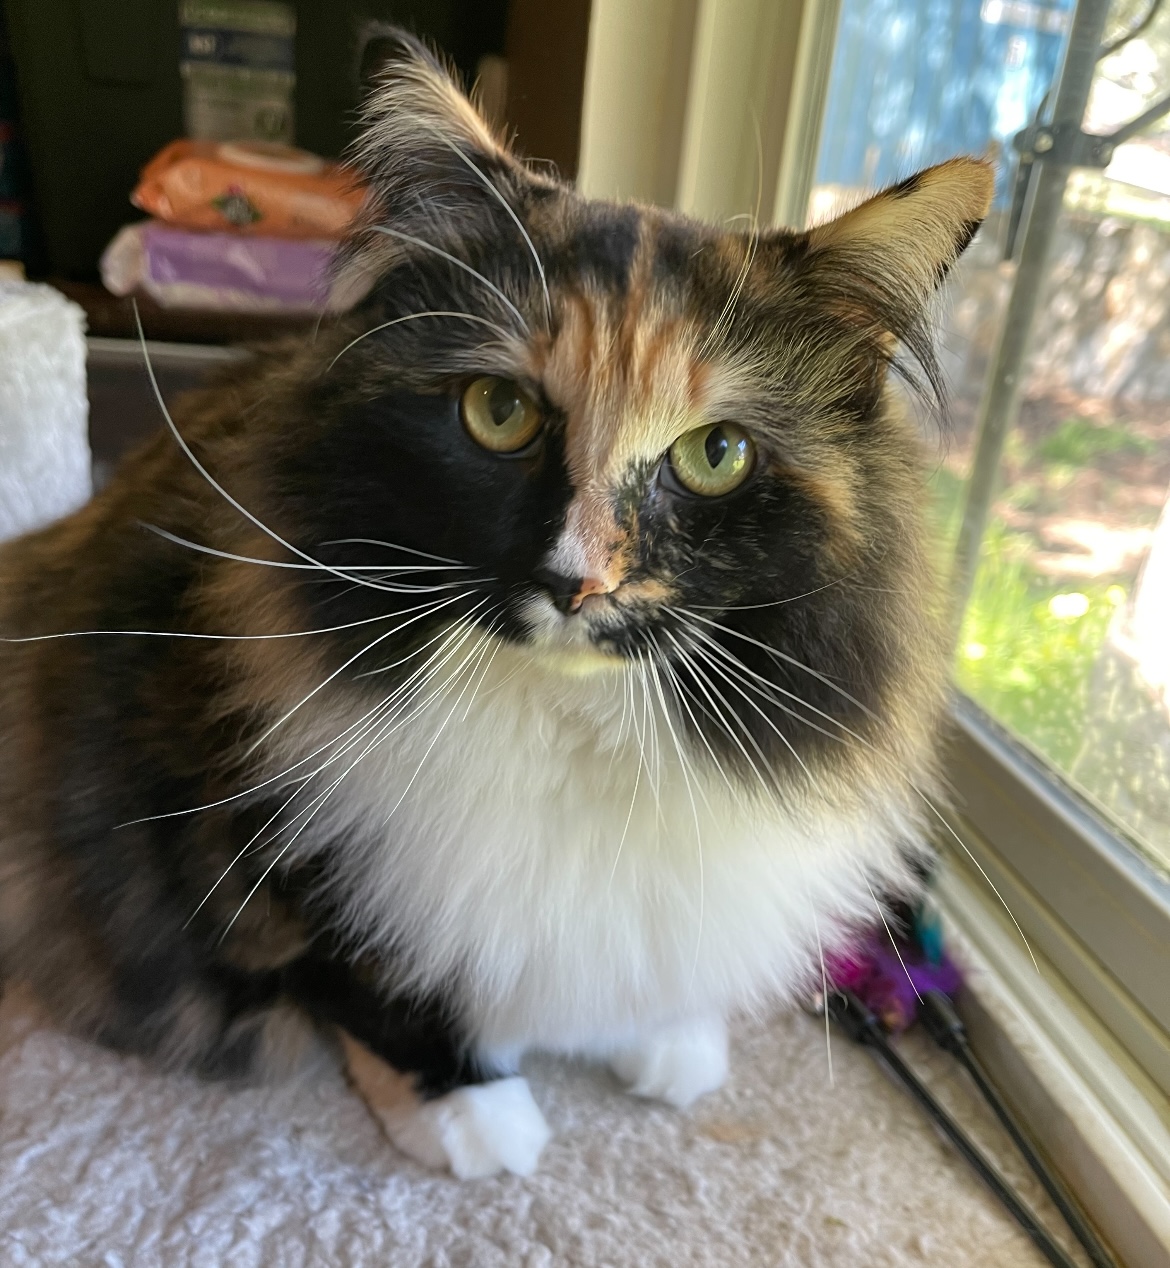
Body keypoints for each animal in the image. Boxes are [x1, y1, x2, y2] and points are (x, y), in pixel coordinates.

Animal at [0, 31, 992, 1179]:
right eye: (498, 411)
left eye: (716, 454)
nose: (577, 579)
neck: (573, 724)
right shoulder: (265, 824)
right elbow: (370, 977)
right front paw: (471, 1112)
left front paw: (666, 1043)